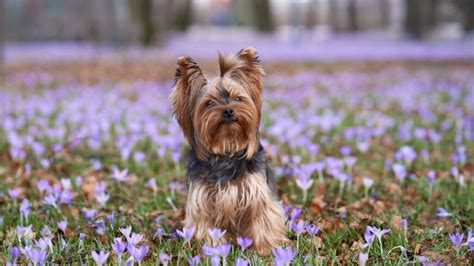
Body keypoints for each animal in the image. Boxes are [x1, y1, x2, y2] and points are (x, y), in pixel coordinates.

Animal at [171, 47, 286, 254]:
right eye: (209, 103)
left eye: (238, 98)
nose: (228, 111)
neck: (226, 147)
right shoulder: (203, 201)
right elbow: (206, 226)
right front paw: (213, 251)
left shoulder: (257, 193)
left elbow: (263, 218)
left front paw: (265, 250)